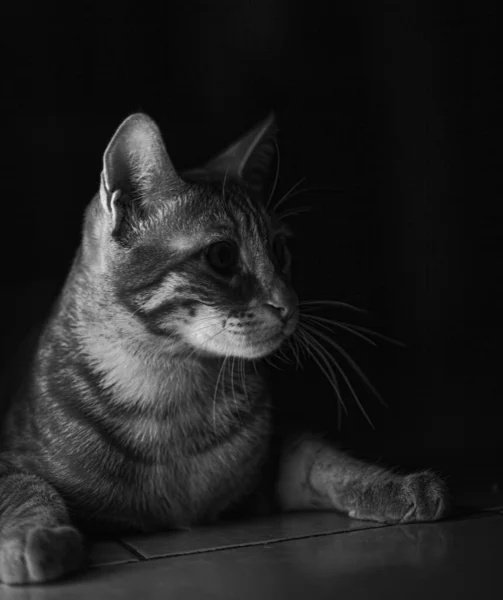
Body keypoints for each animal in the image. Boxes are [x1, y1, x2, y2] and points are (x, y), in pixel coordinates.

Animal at [0, 113, 448, 584]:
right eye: (221, 256)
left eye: (279, 250)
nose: (289, 304)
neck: (171, 389)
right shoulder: (11, 463)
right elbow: (30, 488)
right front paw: (36, 538)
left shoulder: (272, 466)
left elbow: (326, 460)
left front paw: (398, 485)